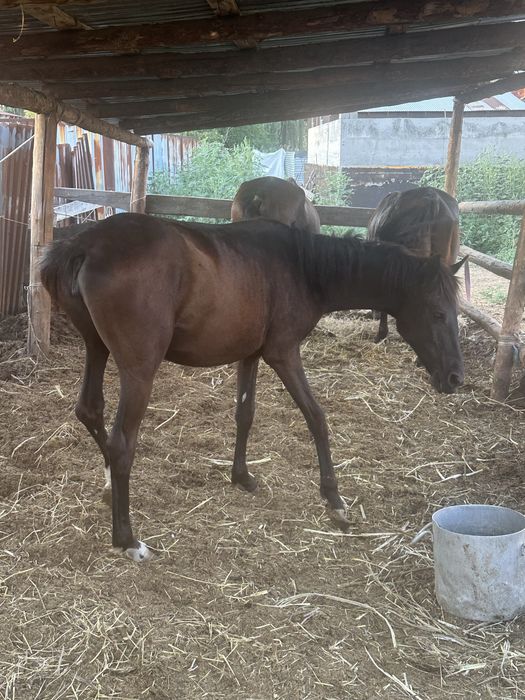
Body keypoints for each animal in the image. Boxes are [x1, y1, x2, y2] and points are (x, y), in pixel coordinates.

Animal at [41, 212, 465, 562]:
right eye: (437, 313)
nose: (455, 378)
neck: (300, 266)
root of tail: (84, 245)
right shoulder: (283, 353)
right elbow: (316, 417)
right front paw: (333, 498)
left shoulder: (250, 354)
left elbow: (245, 414)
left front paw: (241, 475)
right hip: (139, 371)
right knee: (121, 444)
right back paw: (127, 538)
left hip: (96, 348)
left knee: (89, 410)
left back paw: (108, 485)